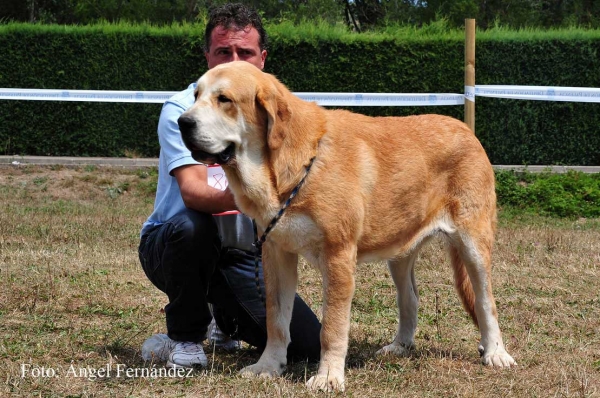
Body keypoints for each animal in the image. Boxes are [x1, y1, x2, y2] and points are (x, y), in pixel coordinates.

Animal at [178, 62, 516, 392]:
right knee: (410, 299)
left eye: (224, 99)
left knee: (486, 302)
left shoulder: (338, 256)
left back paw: (496, 353)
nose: (183, 122)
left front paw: (328, 377)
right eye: (195, 95)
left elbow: (332, 327)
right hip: (400, 252)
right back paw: (400, 346)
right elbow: (276, 319)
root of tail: (466, 130)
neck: (289, 167)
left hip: (473, 245)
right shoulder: (276, 254)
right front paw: (268, 367)